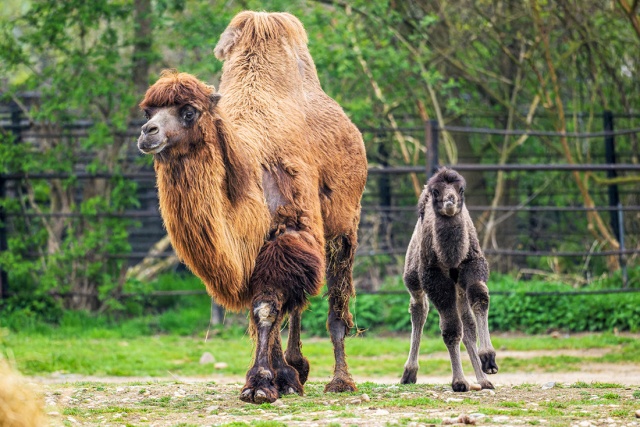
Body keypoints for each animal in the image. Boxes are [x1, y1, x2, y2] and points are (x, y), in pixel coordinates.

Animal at [138, 10, 368, 404]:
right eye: (148, 110)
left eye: (188, 112)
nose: (147, 132)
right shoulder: (252, 250)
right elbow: (264, 308)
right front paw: (281, 378)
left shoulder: (289, 230)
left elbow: (265, 308)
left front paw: (261, 383)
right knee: (297, 303)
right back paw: (298, 368)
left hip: (343, 223)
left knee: (336, 298)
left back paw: (340, 381)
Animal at [400, 167, 500, 392]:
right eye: (436, 191)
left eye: (460, 189)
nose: (450, 201)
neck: (451, 256)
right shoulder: (434, 278)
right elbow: (451, 328)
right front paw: (459, 382)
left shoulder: (473, 265)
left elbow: (480, 298)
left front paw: (488, 359)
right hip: (413, 276)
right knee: (419, 308)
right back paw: (409, 373)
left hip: (458, 287)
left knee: (467, 322)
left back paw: (483, 380)